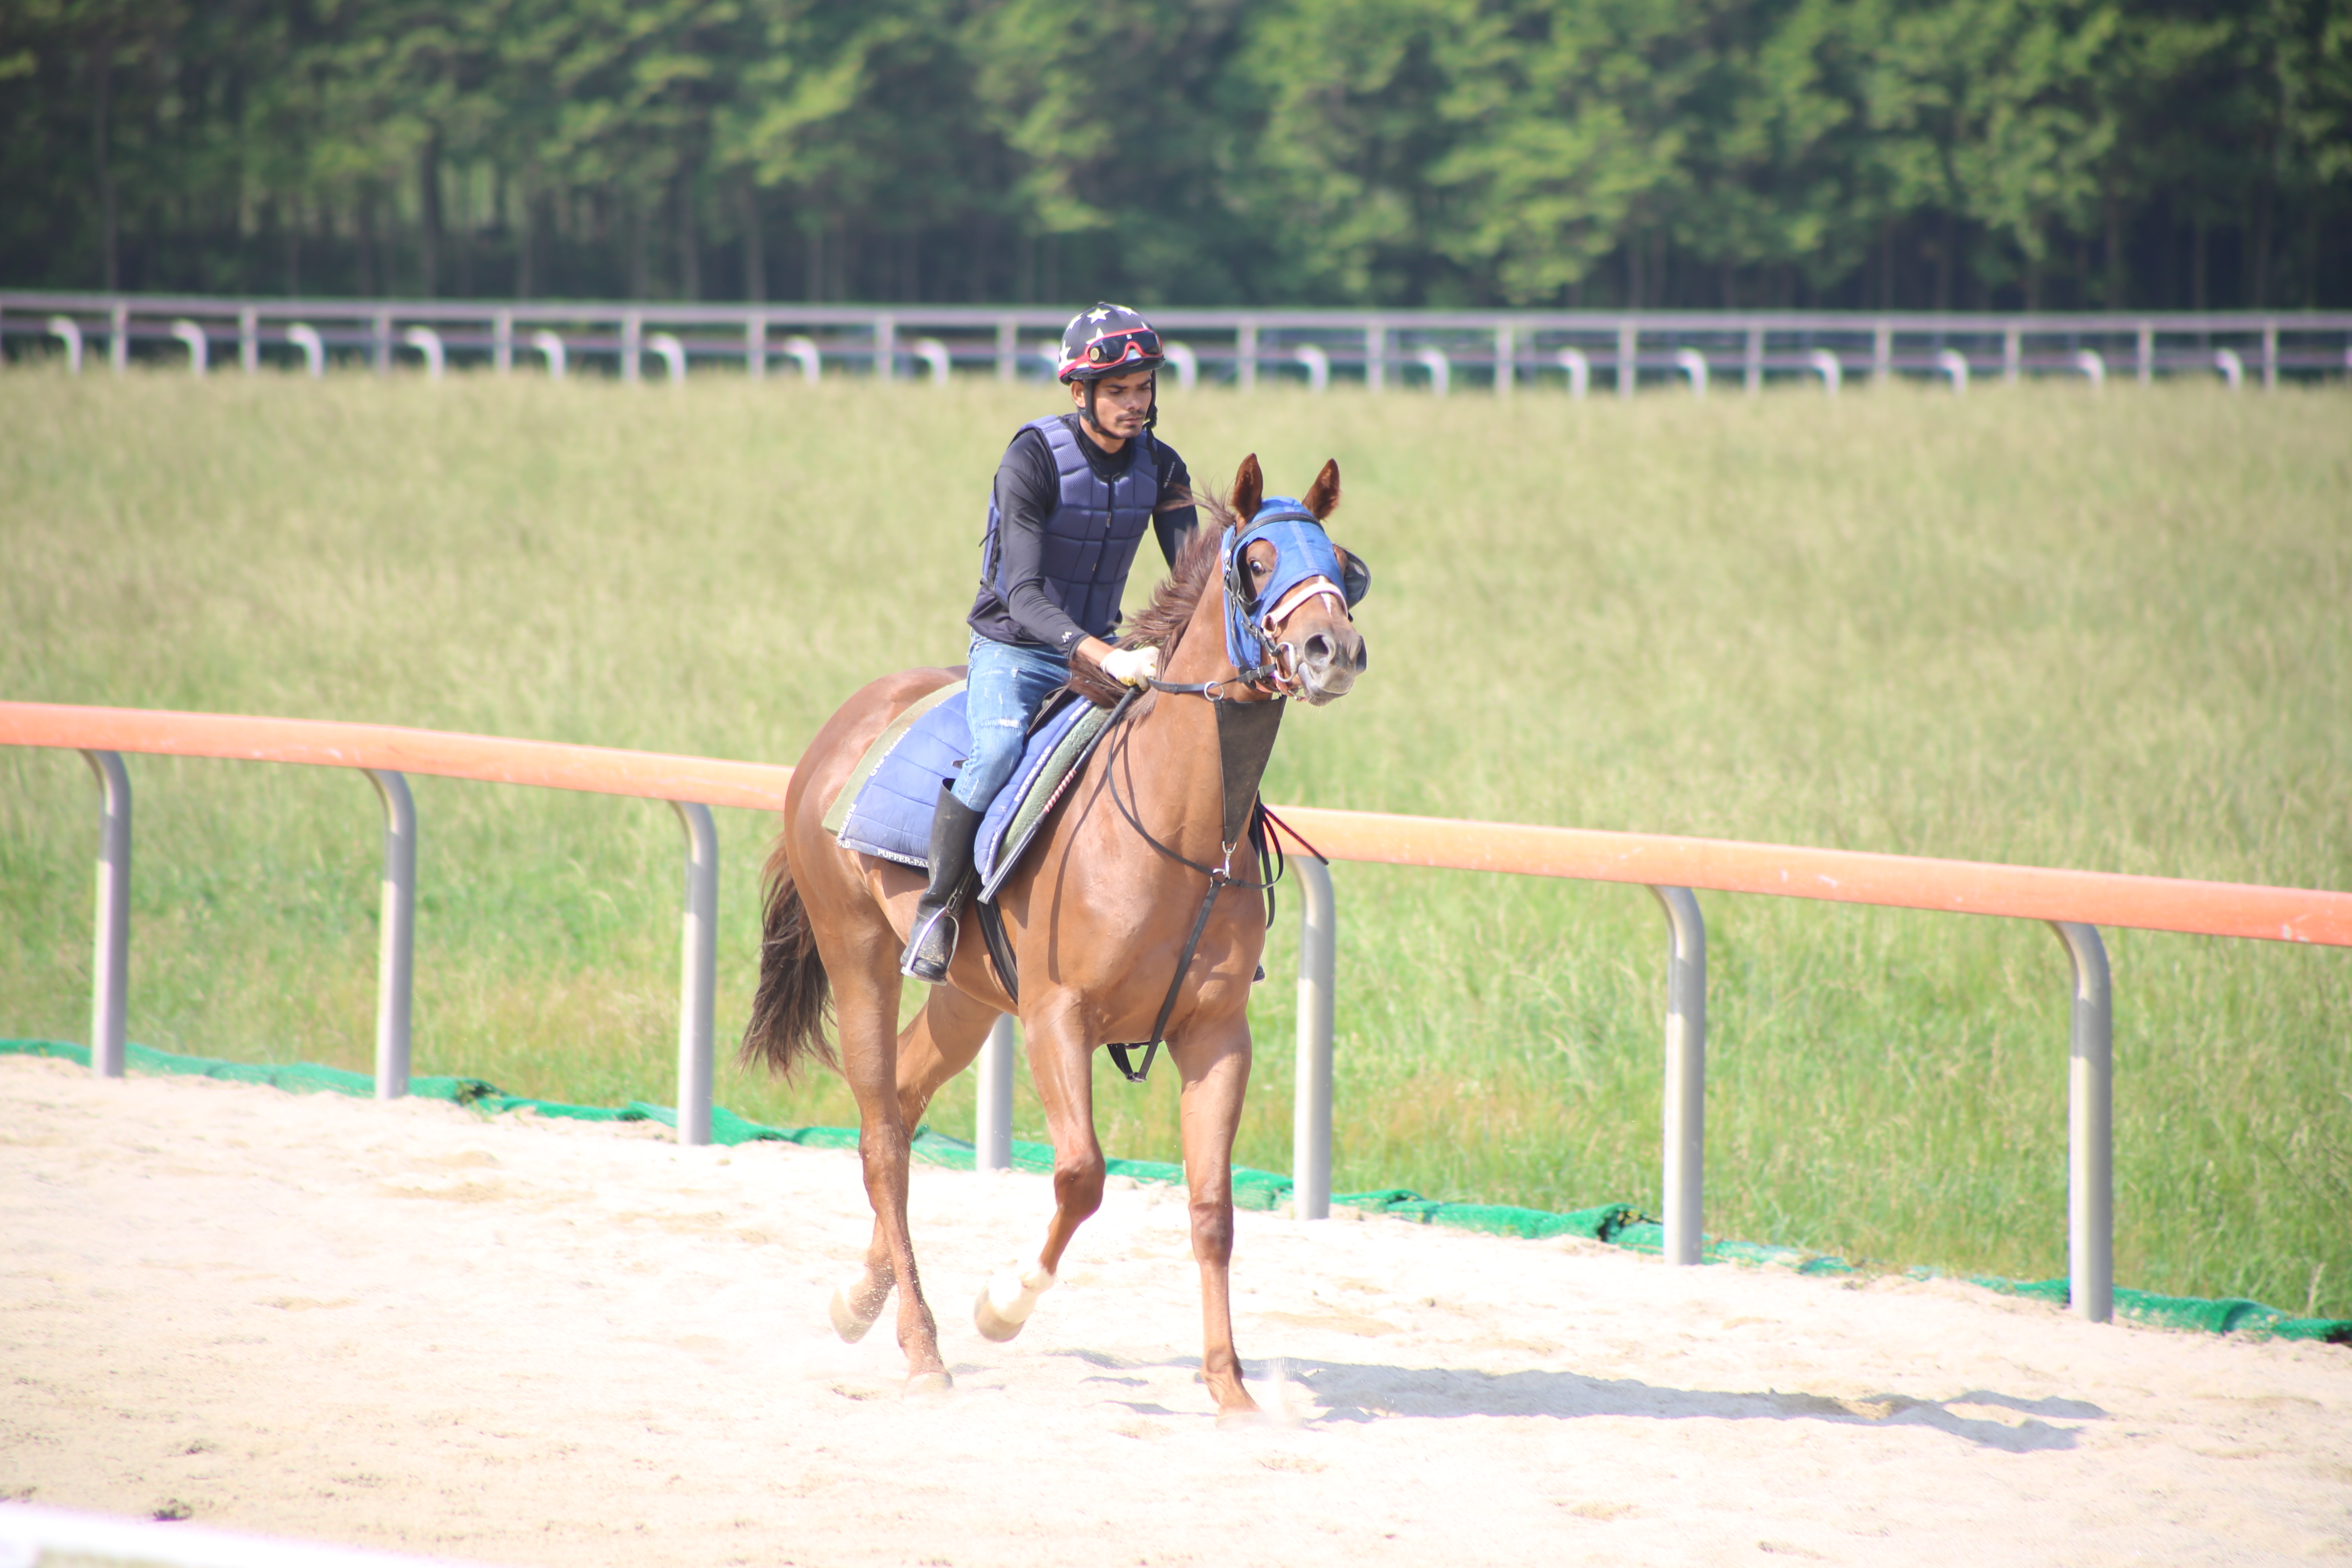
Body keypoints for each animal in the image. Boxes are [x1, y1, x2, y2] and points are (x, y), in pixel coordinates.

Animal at [743, 446, 1373, 1420]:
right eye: (1257, 562)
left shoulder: (1215, 1033)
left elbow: (1213, 1209)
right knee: (883, 1139)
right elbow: (1081, 1174)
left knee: (904, 1104)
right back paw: (923, 1348)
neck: (1181, 832)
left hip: (968, 997)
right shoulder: (1056, 1016)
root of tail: (847, 724)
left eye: (1343, 564)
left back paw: (861, 1298)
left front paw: (1230, 1388)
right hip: (858, 954)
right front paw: (1003, 1304)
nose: (1331, 649)